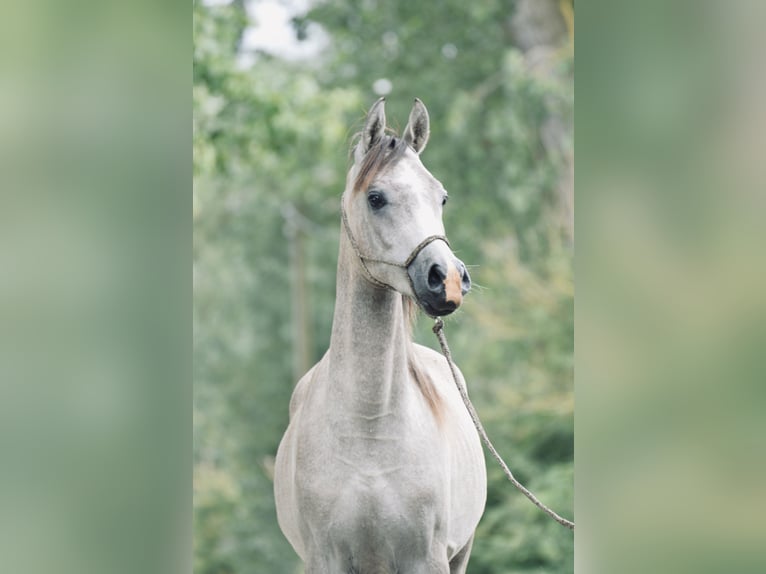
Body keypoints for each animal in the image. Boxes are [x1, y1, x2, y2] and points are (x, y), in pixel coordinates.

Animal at [276, 97, 488, 572]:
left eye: (441, 196)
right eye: (376, 198)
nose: (448, 279)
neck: (370, 433)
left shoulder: (427, 560)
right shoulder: (325, 560)